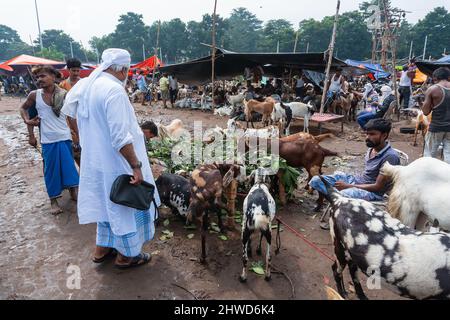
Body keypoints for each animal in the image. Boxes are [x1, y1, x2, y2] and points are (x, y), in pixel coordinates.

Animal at [320, 178, 450, 300]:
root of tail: (339, 198)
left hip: (352, 254)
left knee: (353, 271)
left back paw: (362, 296)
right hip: (339, 248)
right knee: (336, 269)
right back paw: (342, 294)